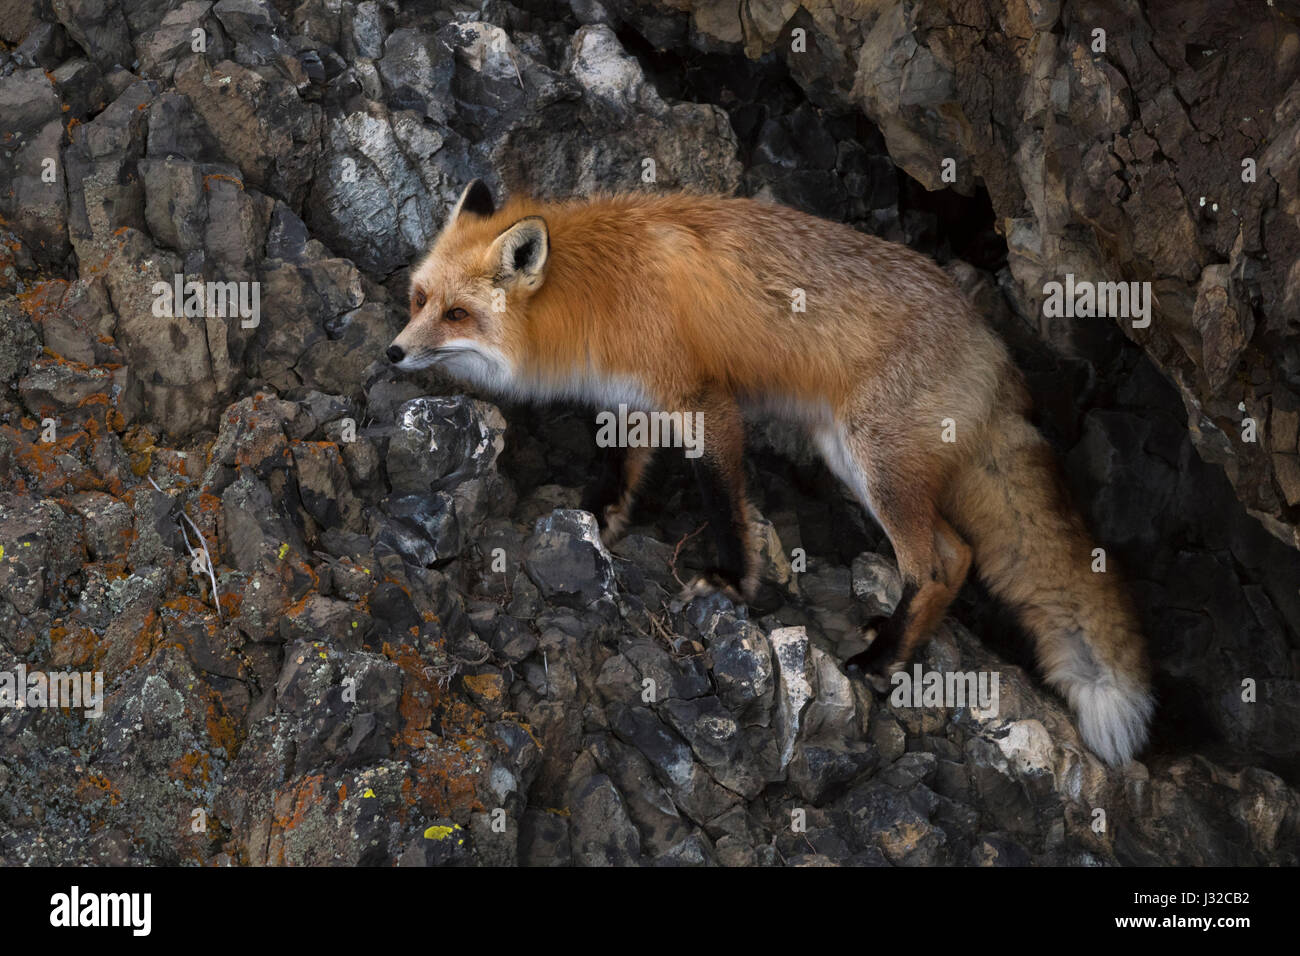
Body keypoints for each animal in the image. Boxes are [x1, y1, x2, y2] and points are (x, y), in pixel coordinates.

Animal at [387, 179, 1159, 764]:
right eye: (420, 299)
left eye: (457, 314)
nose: (393, 353)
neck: (596, 286)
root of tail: (996, 353)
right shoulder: (630, 397)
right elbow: (622, 469)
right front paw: (601, 519)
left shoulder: (706, 403)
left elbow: (724, 500)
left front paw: (733, 581)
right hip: (850, 458)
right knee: (959, 552)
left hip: (876, 462)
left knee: (940, 563)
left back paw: (881, 663)